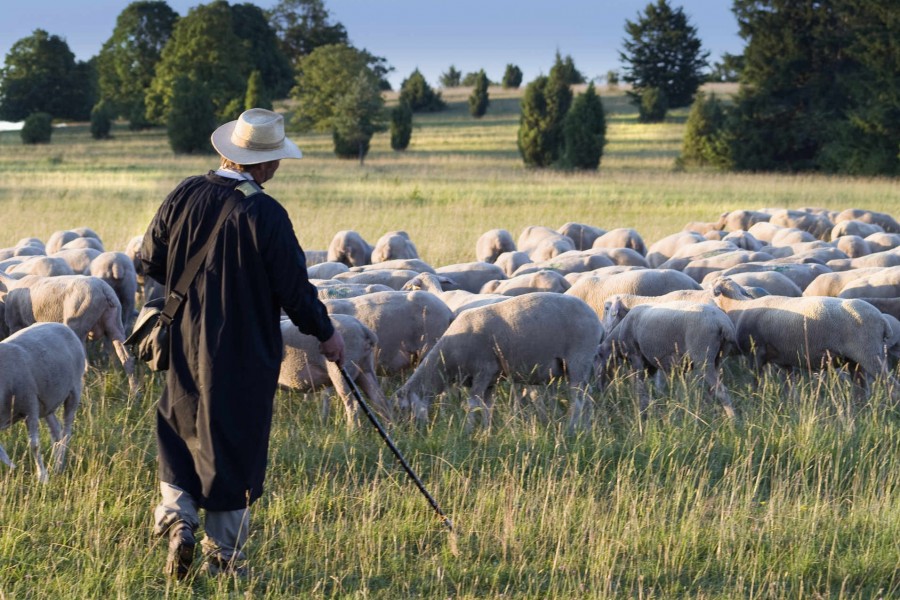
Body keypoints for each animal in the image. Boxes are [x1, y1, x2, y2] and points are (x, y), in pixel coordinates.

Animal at [0, 274, 138, 394]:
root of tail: (104, 290)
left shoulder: (15, 326)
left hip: (77, 323)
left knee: (84, 367)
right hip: (114, 322)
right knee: (127, 359)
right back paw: (134, 395)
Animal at [0, 324, 86, 482]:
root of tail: (62, 326)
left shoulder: (30, 405)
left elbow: (34, 445)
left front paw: (42, 477)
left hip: (75, 389)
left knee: (67, 431)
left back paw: (59, 465)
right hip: (47, 403)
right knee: (56, 430)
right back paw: (56, 461)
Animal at [394, 292, 604, 428]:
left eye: (404, 408)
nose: (409, 433)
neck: (447, 360)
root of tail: (597, 321)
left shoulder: (483, 371)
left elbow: (472, 403)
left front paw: (468, 431)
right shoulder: (491, 379)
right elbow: (488, 406)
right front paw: (486, 432)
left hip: (578, 359)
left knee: (577, 398)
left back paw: (571, 428)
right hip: (583, 364)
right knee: (587, 396)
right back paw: (586, 428)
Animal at [712, 276, 892, 390]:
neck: (741, 306)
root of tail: (882, 320)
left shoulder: (755, 353)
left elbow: (755, 382)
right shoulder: (784, 360)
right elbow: (789, 389)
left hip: (869, 354)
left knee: (891, 386)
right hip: (856, 361)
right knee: (862, 390)